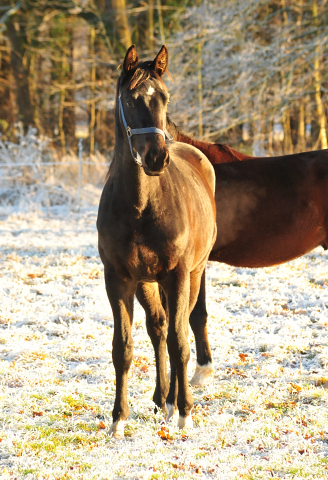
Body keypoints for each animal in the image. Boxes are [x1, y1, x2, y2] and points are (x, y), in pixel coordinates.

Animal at [96, 47, 217, 436]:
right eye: (130, 100)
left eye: (164, 97)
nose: (156, 158)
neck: (140, 205)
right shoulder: (119, 279)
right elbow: (123, 347)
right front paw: (118, 419)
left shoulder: (177, 275)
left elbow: (181, 343)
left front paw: (185, 413)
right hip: (147, 283)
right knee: (159, 327)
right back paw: (161, 397)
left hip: (193, 275)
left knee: (179, 328)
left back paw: (174, 401)